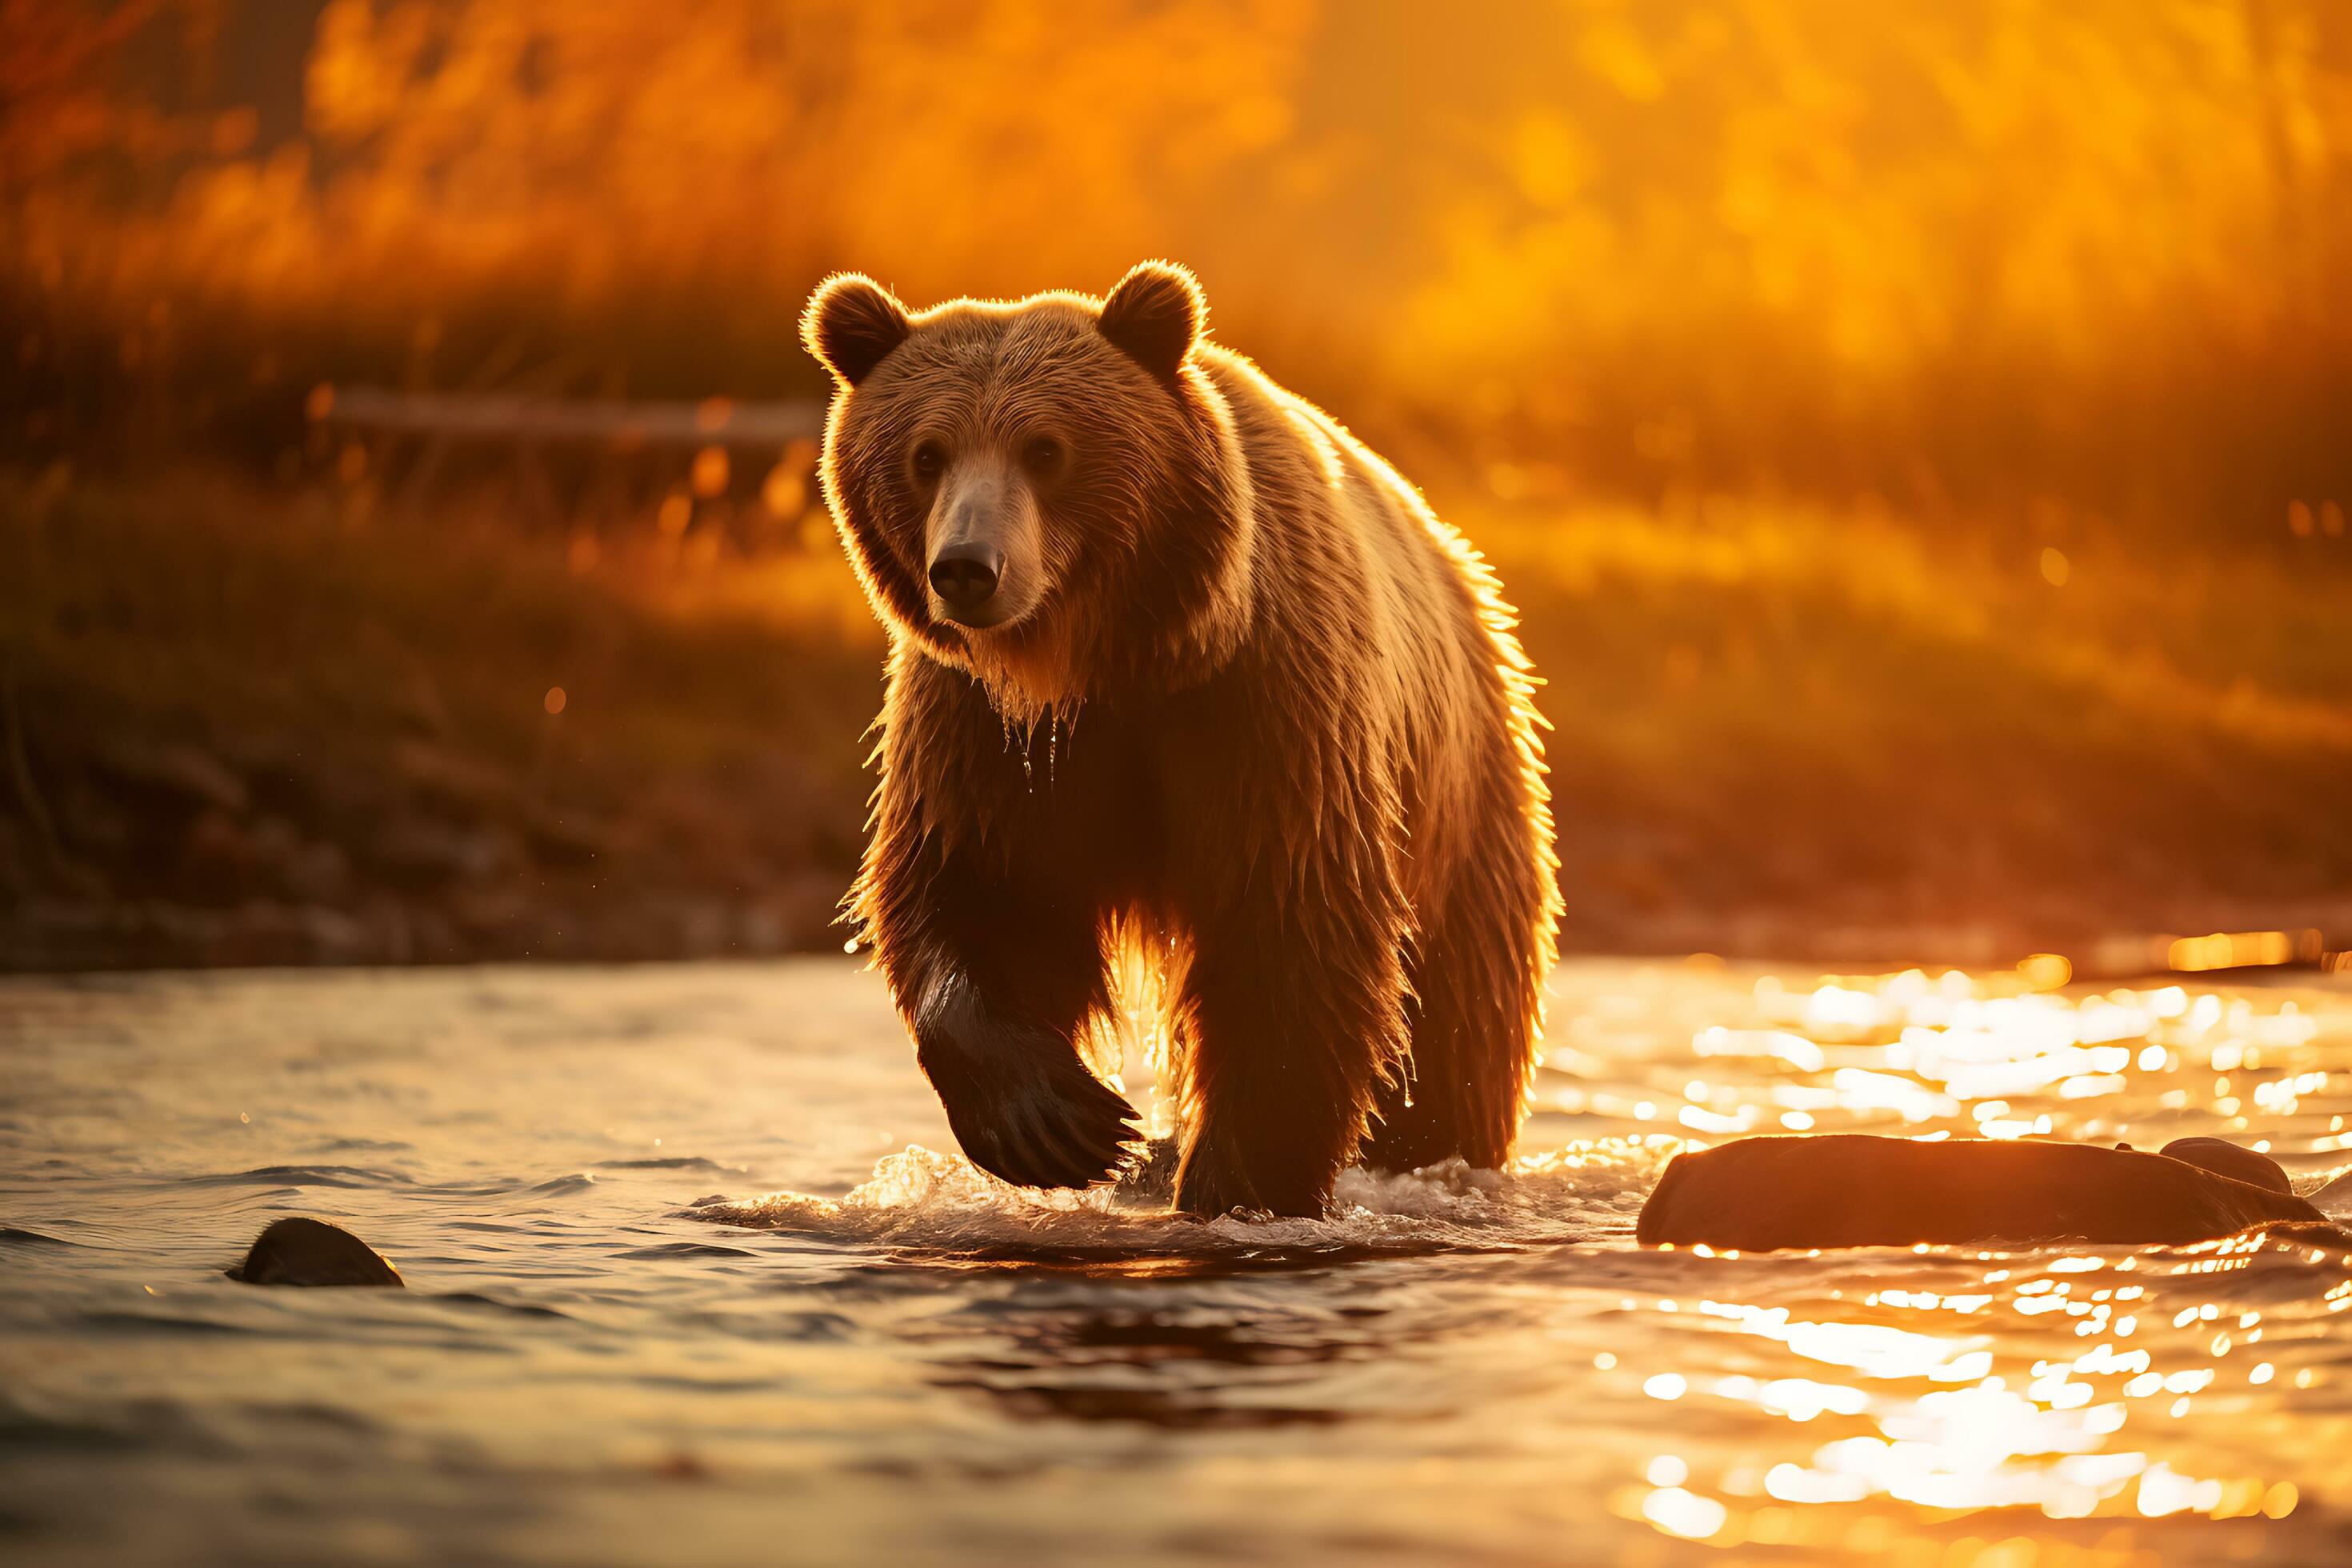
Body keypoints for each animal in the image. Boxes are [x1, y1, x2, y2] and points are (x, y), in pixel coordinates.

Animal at [802, 261, 1559, 1217]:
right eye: (926, 453)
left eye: (1046, 449)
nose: (968, 569)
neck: (1104, 665)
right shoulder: (988, 736)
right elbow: (981, 897)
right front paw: (1065, 1124)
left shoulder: (1263, 704)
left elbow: (1292, 927)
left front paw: (1238, 1180)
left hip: (1463, 796)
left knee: (1458, 1017)